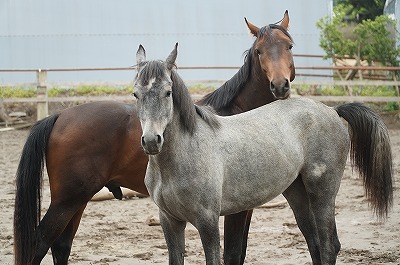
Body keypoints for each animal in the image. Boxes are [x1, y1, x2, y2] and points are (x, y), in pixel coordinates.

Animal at [14, 10, 294, 264]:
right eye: (259, 51)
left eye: (289, 46)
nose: (280, 85)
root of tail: (60, 115)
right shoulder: (236, 211)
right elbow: (233, 253)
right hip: (67, 200)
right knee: (40, 243)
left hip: (78, 199)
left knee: (61, 245)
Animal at [136, 43, 392, 264]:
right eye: (136, 95)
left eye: (168, 92)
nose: (151, 141)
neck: (186, 153)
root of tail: (332, 110)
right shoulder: (170, 221)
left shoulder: (207, 220)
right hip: (297, 192)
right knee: (316, 244)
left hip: (323, 192)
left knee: (329, 246)